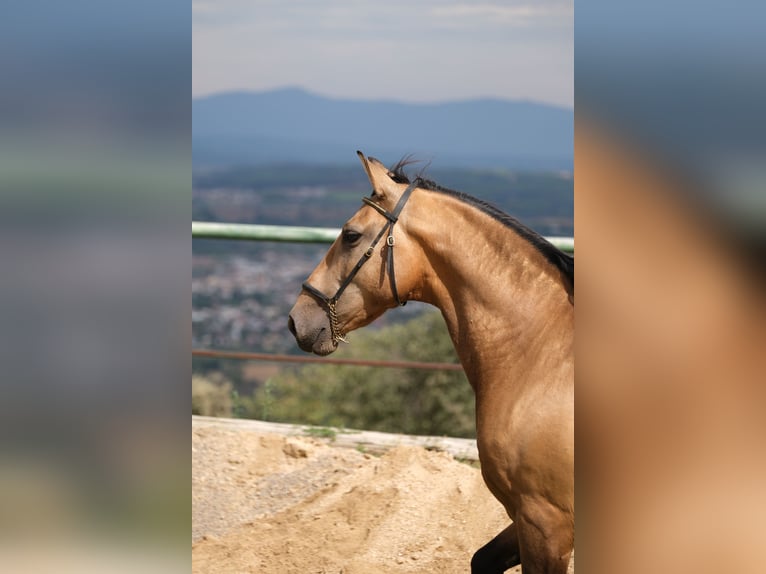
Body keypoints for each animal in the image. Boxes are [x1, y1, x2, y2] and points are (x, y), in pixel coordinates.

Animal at [288, 153, 576, 574]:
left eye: (351, 235)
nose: (297, 319)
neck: (542, 355)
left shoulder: (545, 522)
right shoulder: (525, 518)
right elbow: (481, 559)